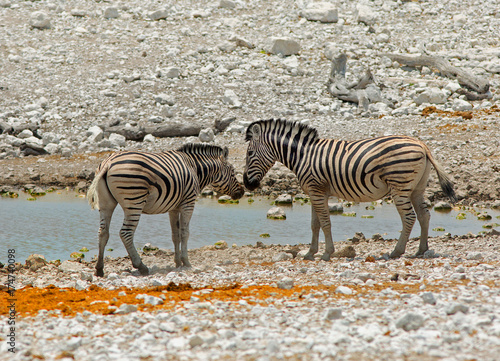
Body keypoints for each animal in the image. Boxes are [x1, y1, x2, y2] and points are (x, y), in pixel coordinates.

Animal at [87, 143, 244, 276]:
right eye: (233, 171)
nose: (242, 192)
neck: (194, 168)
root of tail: (108, 163)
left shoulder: (173, 208)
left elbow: (175, 235)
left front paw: (177, 262)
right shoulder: (188, 203)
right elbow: (185, 233)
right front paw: (186, 262)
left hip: (106, 203)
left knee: (103, 232)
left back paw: (99, 269)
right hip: (134, 201)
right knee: (125, 233)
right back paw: (141, 266)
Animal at [242, 119, 458, 260]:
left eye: (250, 153)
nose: (247, 184)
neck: (303, 155)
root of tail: (422, 144)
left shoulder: (317, 191)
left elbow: (325, 223)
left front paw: (327, 253)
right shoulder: (314, 192)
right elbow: (314, 224)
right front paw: (310, 253)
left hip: (400, 186)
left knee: (410, 217)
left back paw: (396, 252)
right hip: (416, 189)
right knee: (424, 215)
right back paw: (421, 250)